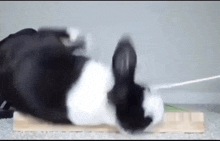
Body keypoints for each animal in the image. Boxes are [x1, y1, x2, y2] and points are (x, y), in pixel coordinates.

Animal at [0, 27, 163, 134]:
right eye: (145, 119)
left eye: (146, 89)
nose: (161, 115)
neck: (108, 93)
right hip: (47, 41)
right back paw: (81, 37)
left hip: (46, 40)